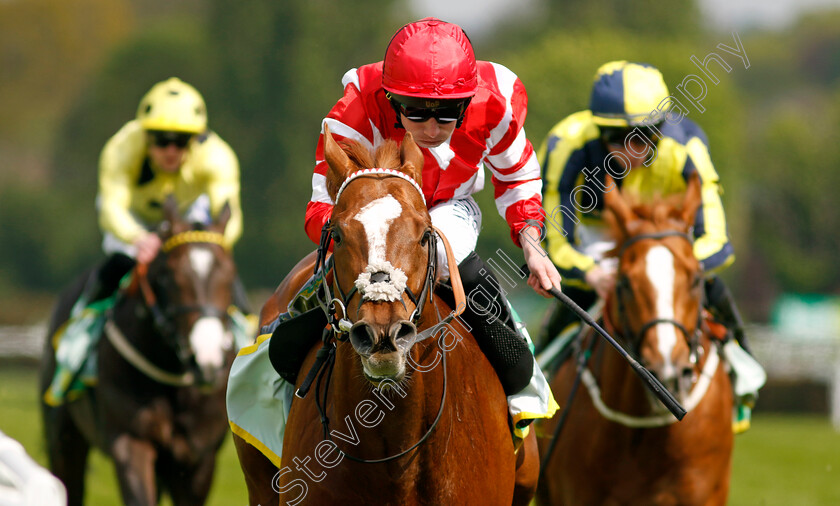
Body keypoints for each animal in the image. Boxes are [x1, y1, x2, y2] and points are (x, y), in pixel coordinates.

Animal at [41, 198, 240, 506]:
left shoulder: (198, 457)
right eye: (169, 276)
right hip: (64, 436)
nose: (206, 361)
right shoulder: (131, 440)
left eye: (229, 276)